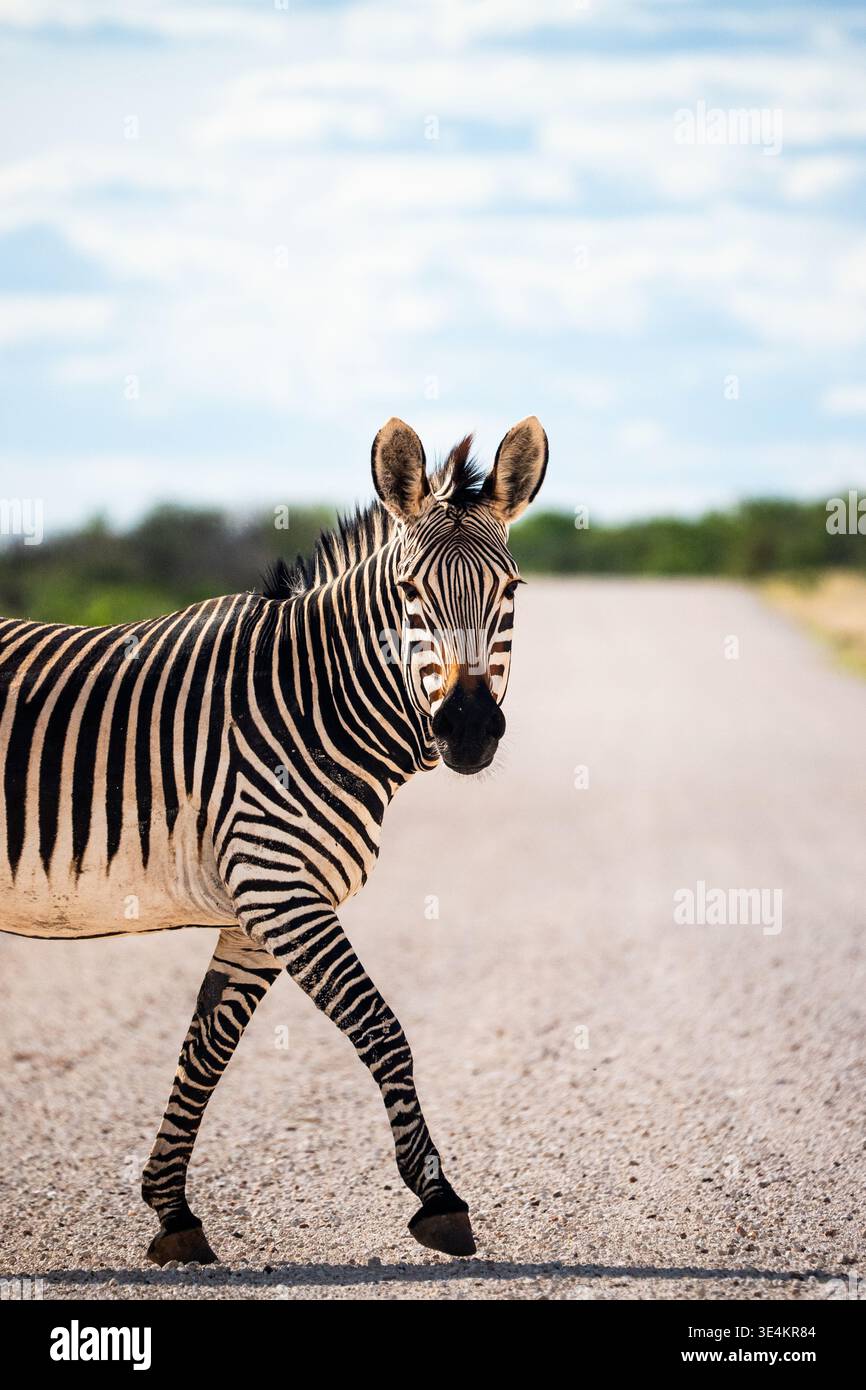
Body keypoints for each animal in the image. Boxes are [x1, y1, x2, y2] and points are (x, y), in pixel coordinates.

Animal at [1, 415, 548, 1264]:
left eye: (510, 591)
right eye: (408, 593)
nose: (467, 731)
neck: (314, 705)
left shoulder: (257, 910)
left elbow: (206, 1049)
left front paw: (172, 1213)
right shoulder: (280, 890)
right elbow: (381, 1028)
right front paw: (439, 1197)